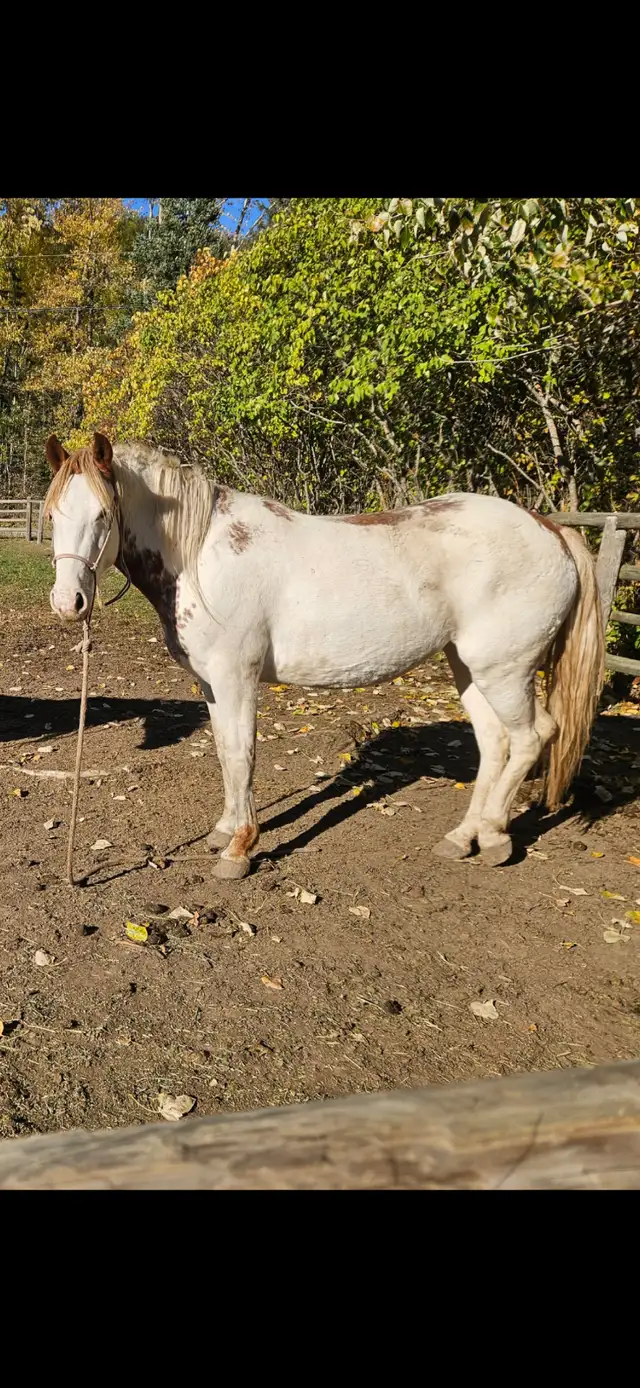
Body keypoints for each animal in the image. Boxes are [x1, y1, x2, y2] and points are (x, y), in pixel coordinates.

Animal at [44, 431, 605, 879]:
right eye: (52, 515)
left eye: (103, 514)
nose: (69, 603)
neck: (203, 554)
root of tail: (551, 529)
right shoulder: (211, 684)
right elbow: (224, 752)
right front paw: (225, 830)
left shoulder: (236, 677)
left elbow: (242, 755)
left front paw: (239, 850)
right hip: (468, 666)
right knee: (494, 743)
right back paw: (461, 838)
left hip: (505, 670)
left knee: (532, 738)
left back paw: (492, 835)